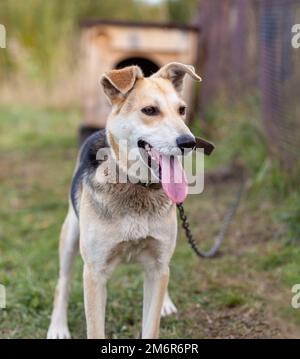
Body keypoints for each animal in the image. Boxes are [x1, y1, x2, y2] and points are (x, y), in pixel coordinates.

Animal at [47, 62, 202, 340]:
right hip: (70, 236)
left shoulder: (157, 266)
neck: (137, 186)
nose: (189, 142)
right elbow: (95, 329)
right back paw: (57, 327)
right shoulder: (95, 275)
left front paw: (162, 306)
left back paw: (166, 302)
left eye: (182, 110)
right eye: (149, 110)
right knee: (62, 283)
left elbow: (151, 326)